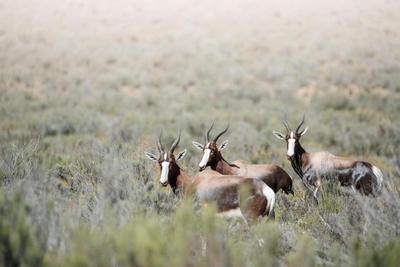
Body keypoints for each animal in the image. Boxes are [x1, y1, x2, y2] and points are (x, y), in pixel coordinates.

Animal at [144, 129, 276, 225]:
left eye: (172, 162)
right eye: (160, 162)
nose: (163, 181)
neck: (193, 181)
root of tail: (267, 190)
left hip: (252, 220)